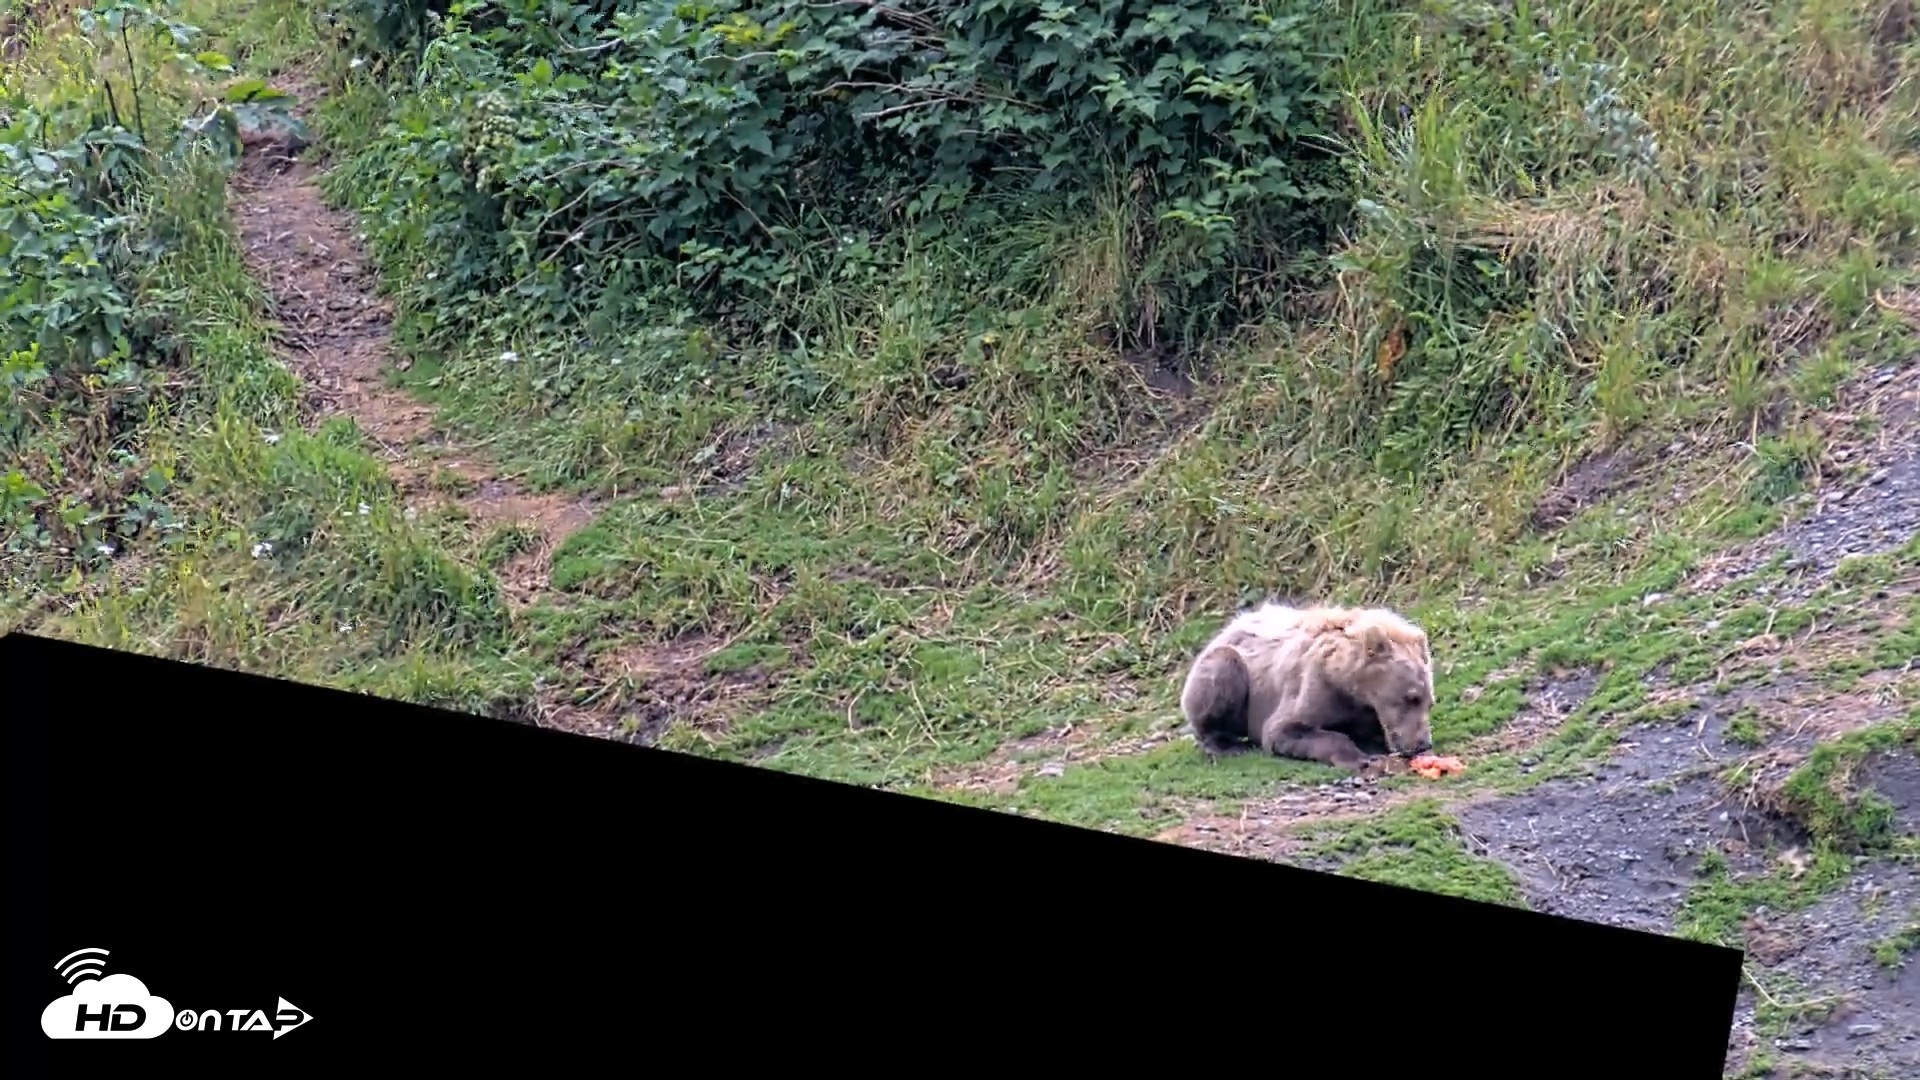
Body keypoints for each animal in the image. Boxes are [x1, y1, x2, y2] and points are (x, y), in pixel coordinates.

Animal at [1178, 601, 1436, 771]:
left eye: (1429, 702)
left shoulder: (1361, 707)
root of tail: (1227, 628)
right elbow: (1285, 729)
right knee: (1221, 671)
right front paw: (1359, 758)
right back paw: (1224, 745)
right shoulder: (1313, 684)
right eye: (1410, 697)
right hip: (1223, 669)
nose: (1423, 744)